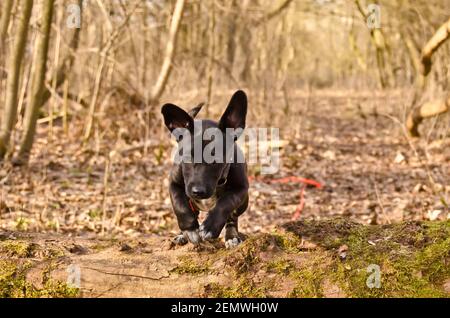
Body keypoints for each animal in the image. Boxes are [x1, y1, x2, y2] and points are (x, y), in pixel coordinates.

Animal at [161, 90, 248, 248]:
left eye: (216, 159)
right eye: (187, 157)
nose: (198, 191)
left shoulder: (241, 189)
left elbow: (226, 202)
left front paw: (210, 226)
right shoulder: (174, 184)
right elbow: (180, 206)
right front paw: (189, 230)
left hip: (244, 203)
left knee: (233, 217)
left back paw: (231, 236)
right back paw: (182, 234)